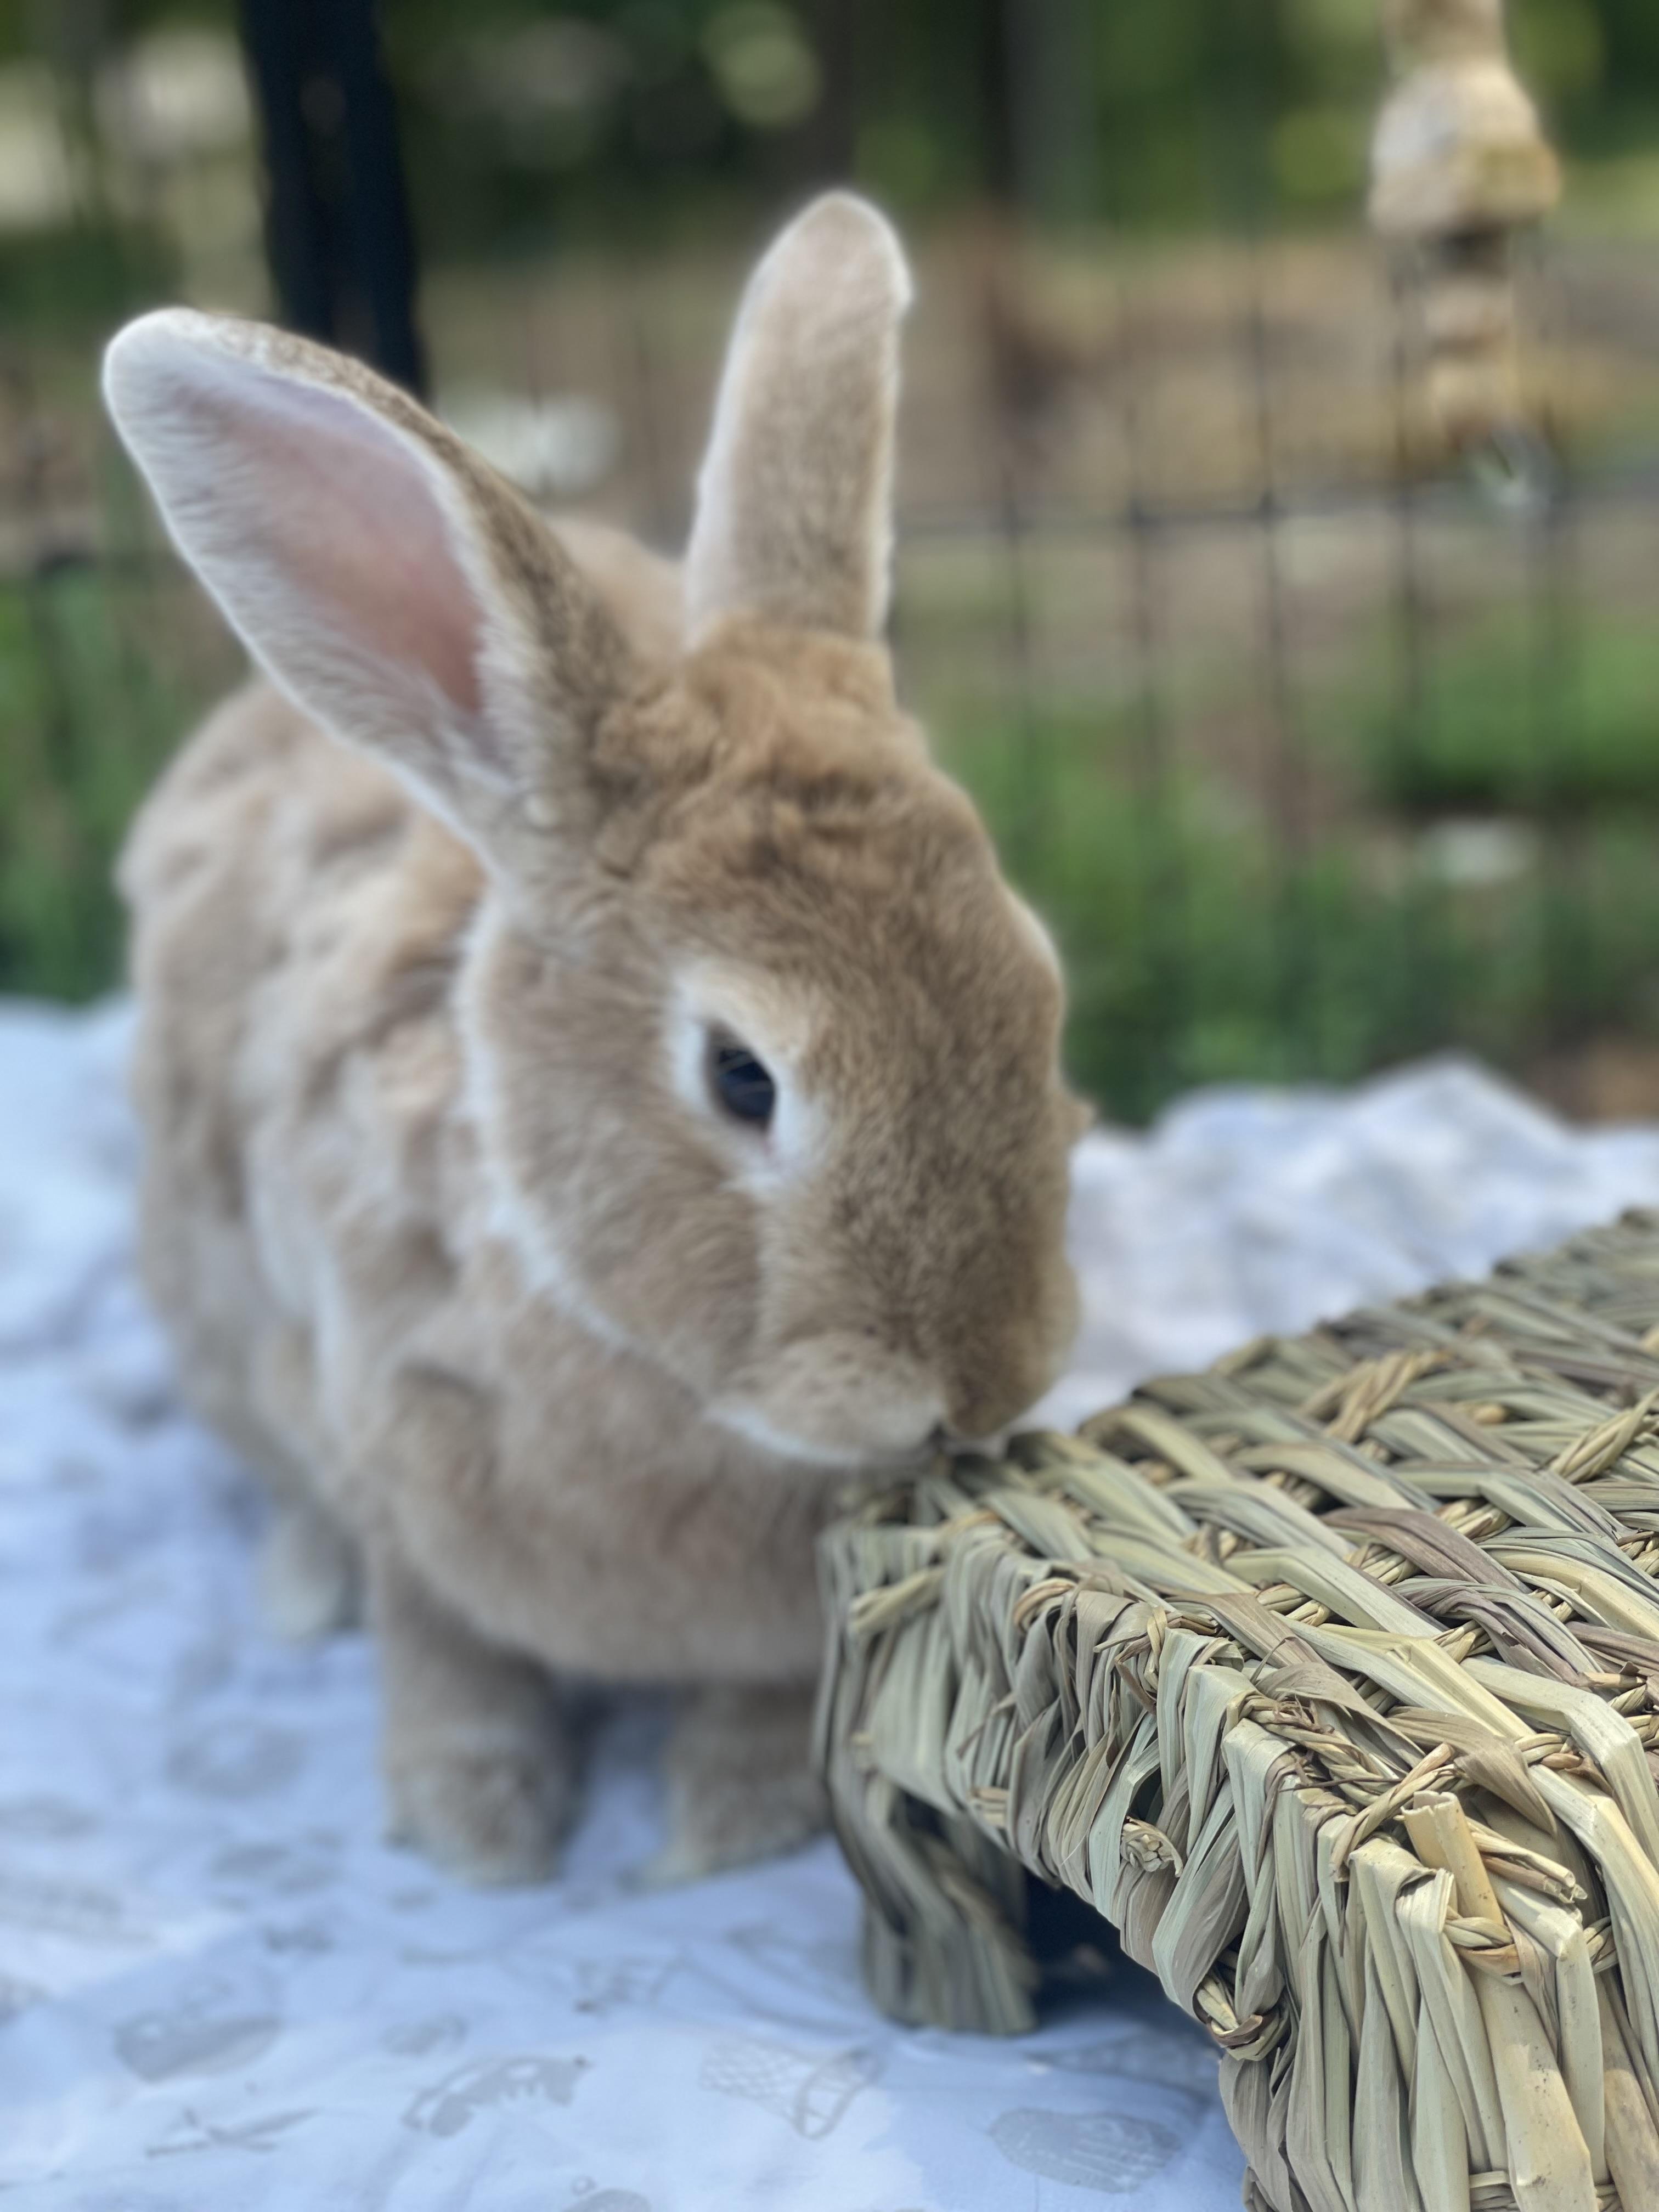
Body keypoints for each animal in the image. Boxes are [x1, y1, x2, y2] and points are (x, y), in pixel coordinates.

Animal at [104, 191, 1084, 1887]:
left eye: (1038, 983)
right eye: (743, 1078)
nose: (982, 1388)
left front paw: (731, 1825)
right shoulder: (393, 1475)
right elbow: (441, 1643)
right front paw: (475, 1830)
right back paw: (301, 1591)